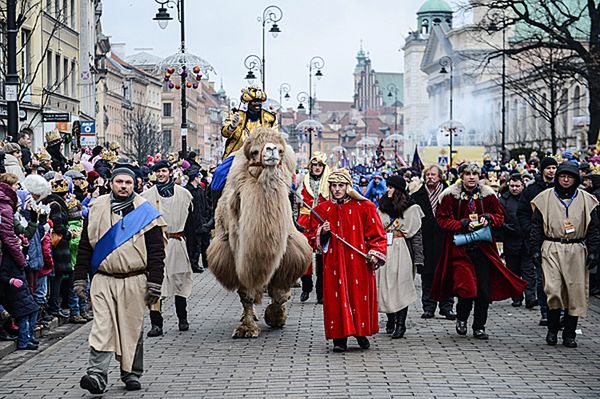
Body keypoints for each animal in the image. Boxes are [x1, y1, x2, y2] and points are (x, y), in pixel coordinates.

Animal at [207, 127, 312, 338]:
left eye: (280, 150)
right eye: (255, 152)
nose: (271, 150)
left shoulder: (288, 251)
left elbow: (280, 292)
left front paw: (276, 317)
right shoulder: (236, 252)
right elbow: (246, 293)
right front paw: (246, 328)